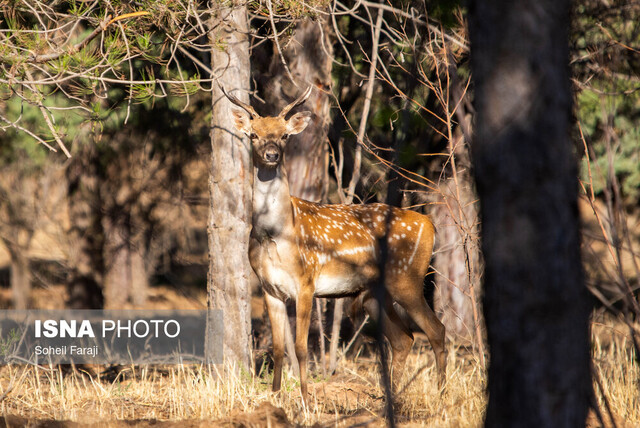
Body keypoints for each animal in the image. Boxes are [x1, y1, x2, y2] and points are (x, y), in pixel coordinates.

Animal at [220, 86, 444, 402]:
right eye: (253, 135)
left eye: (284, 135)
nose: (271, 154)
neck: (276, 234)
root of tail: (429, 223)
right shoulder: (269, 288)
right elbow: (278, 349)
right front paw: (275, 397)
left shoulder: (306, 281)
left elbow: (301, 348)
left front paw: (305, 398)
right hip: (375, 292)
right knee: (404, 338)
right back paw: (390, 397)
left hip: (407, 278)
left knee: (436, 330)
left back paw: (441, 395)